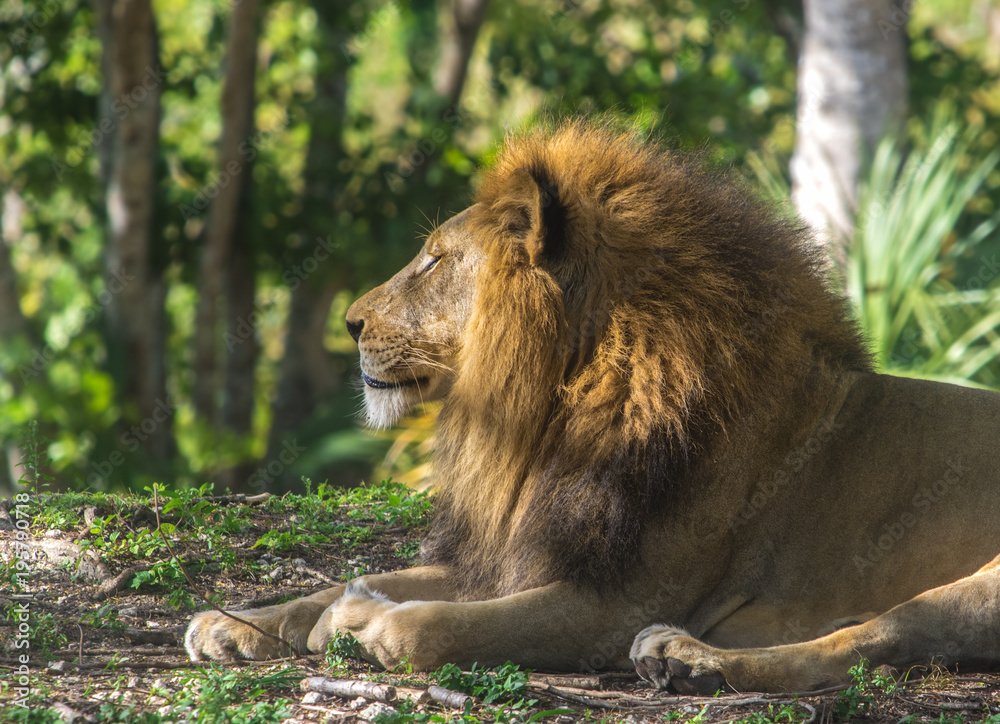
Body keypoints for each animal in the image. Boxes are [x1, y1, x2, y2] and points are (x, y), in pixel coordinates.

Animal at [186, 122, 1000, 693]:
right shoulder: (524, 554)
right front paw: (236, 623)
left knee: (873, 641)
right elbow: (333, 585)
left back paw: (689, 657)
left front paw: (366, 621)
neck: (554, 414)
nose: (351, 322)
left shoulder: (622, 600)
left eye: (434, 259)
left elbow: (447, 627)